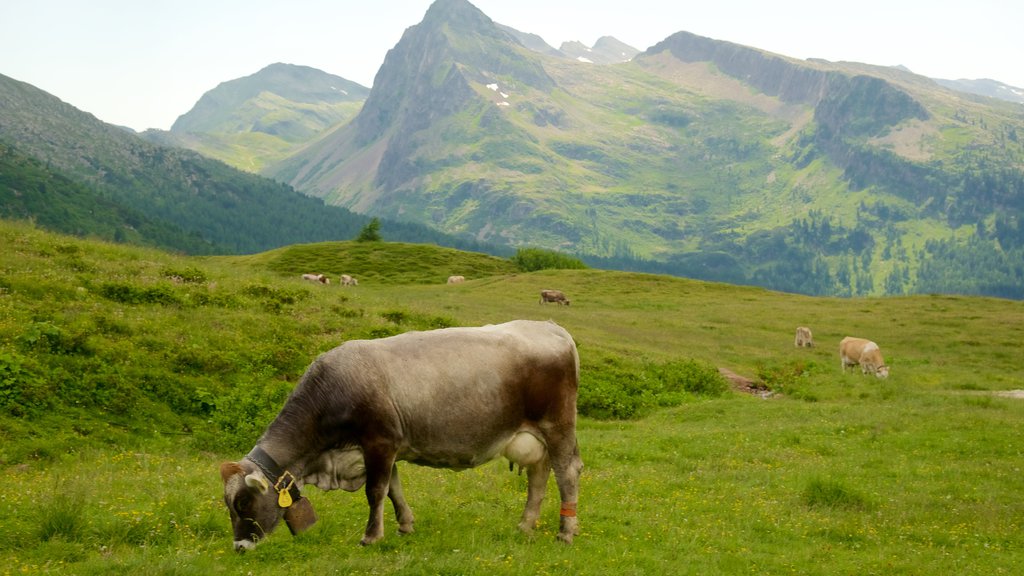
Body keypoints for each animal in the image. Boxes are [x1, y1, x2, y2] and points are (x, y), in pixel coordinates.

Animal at [216, 317, 585, 545]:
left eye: (243, 503)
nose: (239, 546)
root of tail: (551, 327)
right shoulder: (385, 445)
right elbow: (394, 488)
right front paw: (405, 525)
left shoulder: (379, 441)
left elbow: (376, 491)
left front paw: (371, 536)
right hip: (532, 439)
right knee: (539, 475)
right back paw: (525, 525)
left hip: (558, 426)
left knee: (566, 472)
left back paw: (566, 532)